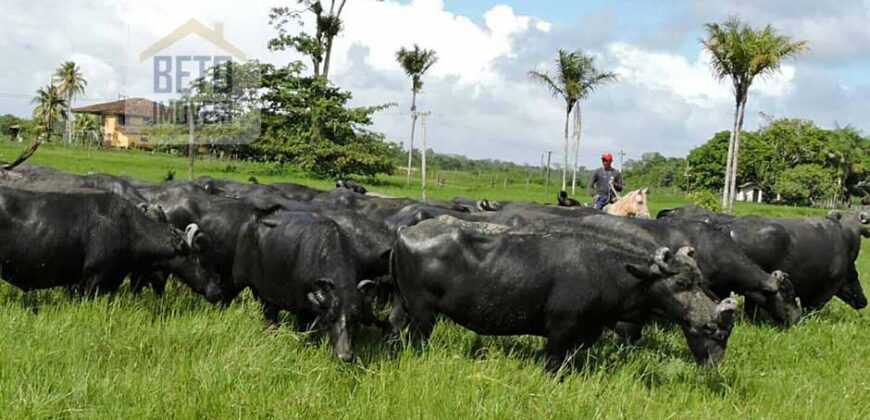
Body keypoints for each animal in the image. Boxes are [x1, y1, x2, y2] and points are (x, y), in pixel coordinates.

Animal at [392, 217, 740, 370]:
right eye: (680, 283)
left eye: (700, 280)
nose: (712, 324)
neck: (606, 270)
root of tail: (405, 231)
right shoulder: (560, 332)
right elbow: (554, 364)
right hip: (422, 313)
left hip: (403, 308)